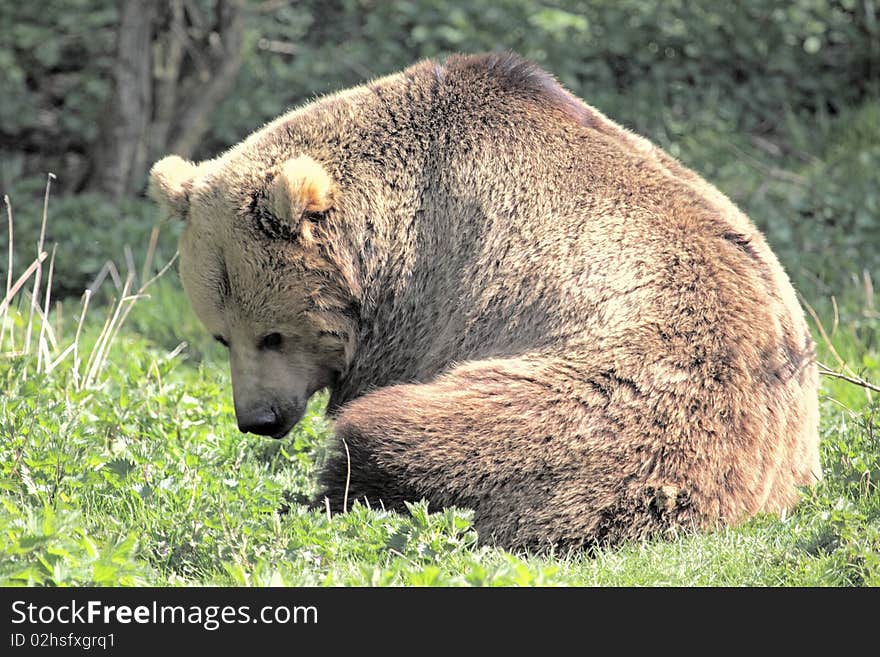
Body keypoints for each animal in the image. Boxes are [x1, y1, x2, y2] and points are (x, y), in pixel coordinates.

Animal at [150, 53, 820, 552]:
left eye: (273, 334)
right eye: (221, 335)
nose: (258, 419)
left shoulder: (431, 299)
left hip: (611, 407)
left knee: (419, 438)